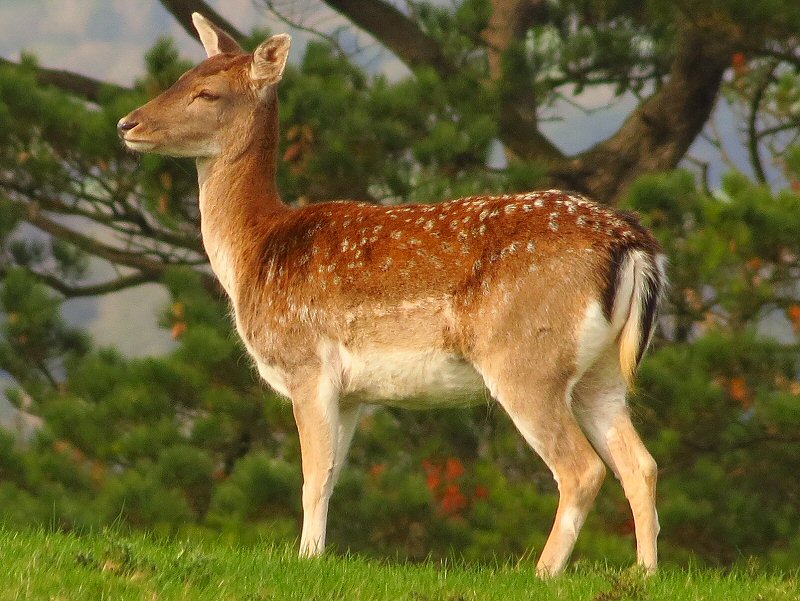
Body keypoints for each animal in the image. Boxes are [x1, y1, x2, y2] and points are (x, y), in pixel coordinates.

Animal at [119, 14, 664, 576]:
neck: (255, 251)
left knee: (582, 469)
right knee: (640, 464)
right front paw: (318, 554)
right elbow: (331, 476)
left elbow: (312, 476)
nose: (126, 125)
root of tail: (632, 244)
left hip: (526, 360)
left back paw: (541, 572)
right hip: (599, 371)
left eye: (206, 92)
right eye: (181, 76)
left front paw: (306, 560)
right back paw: (643, 573)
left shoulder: (306, 365)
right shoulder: (353, 392)